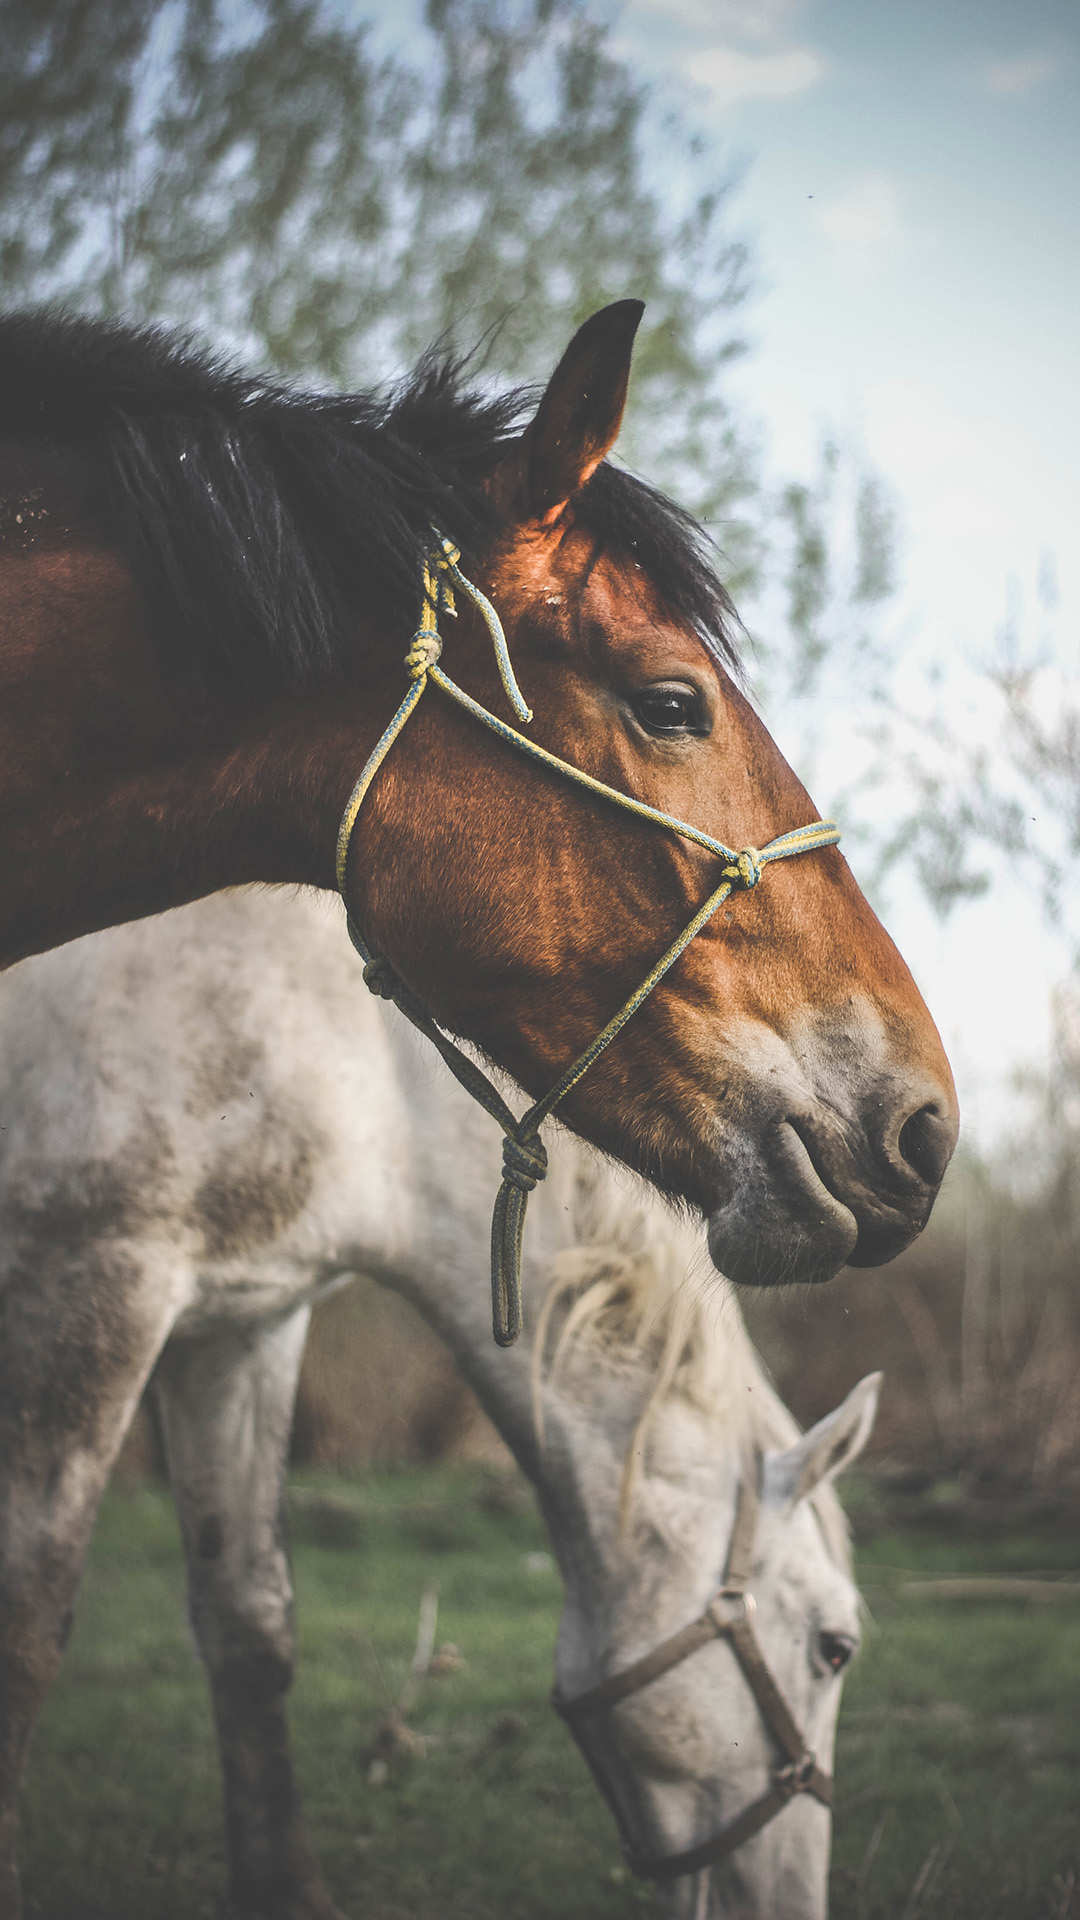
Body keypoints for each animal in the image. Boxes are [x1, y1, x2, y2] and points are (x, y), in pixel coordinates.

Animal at [0, 890, 876, 1920]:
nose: (798, 1905)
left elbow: (250, 1624)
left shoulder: (244, 1326)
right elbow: (25, 1640)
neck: (364, 1071)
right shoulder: (94, 1281)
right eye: (834, 1649)